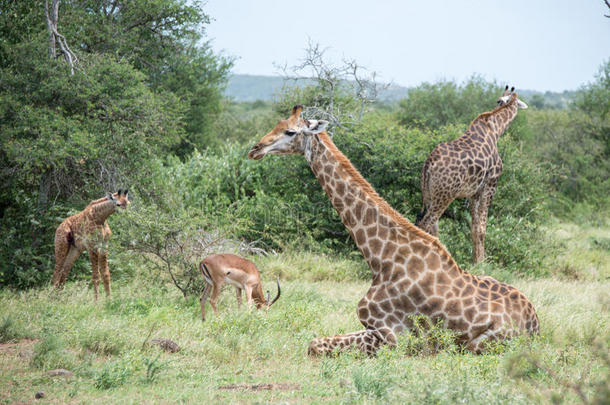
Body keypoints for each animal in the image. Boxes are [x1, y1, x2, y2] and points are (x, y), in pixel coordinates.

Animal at [247, 104, 536, 354]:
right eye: (277, 124)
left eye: (290, 131)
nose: (255, 149)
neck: (380, 258)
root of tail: (535, 324)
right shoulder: (372, 328)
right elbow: (314, 341)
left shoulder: (394, 337)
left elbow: (314, 345)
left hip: (479, 344)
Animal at [414, 85, 528, 262]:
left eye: (500, 100)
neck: (496, 129)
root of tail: (428, 164)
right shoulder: (491, 185)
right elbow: (482, 227)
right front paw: (483, 262)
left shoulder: (474, 192)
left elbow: (474, 227)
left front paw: (476, 261)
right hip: (445, 195)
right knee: (425, 224)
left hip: (429, 194)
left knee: (431, 224)